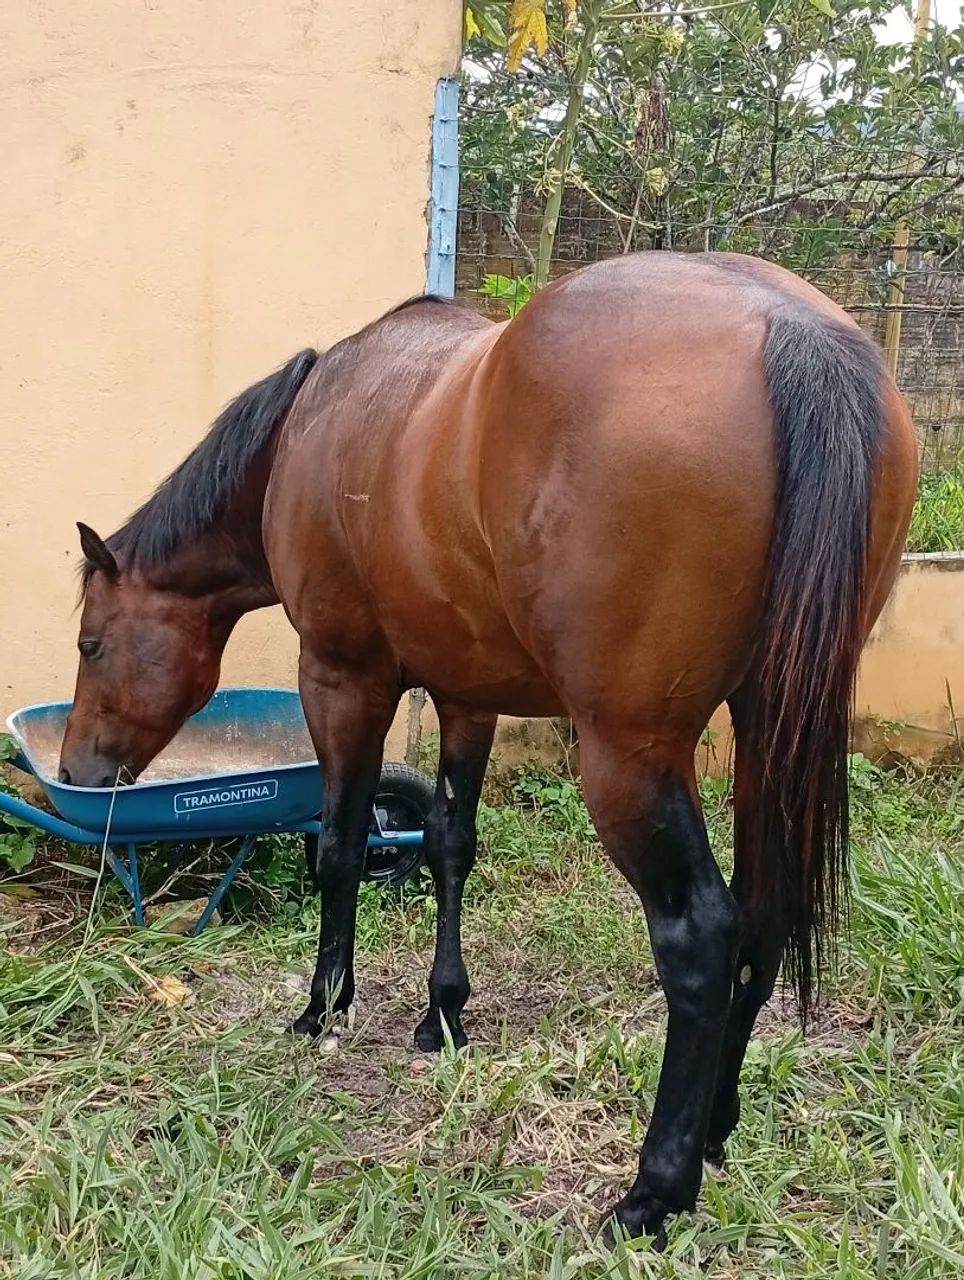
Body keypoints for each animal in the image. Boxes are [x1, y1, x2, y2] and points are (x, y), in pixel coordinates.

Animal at [60, 252, 918, 1244]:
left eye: (92, 643)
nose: (77, 769)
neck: (307, 430)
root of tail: (792, 330)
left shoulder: (342, 681)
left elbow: (339, 849)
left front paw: (324, 1006)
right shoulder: (467, 697)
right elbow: (449, 844)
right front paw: (443, 1016)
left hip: (629, 758)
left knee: (702, 934)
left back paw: (653, 1190)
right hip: (765, 733)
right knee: (765, 910)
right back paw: (714, 1127)